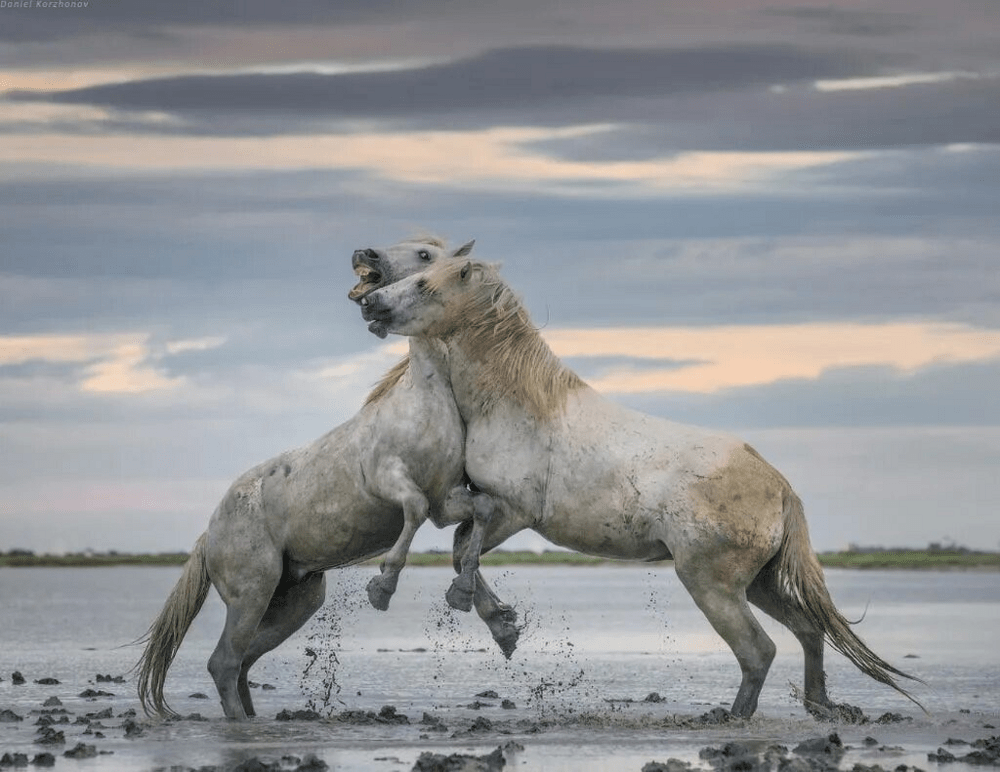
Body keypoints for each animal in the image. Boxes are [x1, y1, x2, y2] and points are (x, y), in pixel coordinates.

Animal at [358, 256, 920, 720]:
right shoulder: (488, 509)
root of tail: (780, 487)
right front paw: (504, 625)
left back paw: (732, 716)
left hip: (711, 583)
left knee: (759, 649)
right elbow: (460, 550)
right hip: (757, 583)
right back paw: (820, 706)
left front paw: (489, 618)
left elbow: (462, 552)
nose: (370, 303)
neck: (520, 405)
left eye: (425, 284)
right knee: (808, 630)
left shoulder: (513, 511)